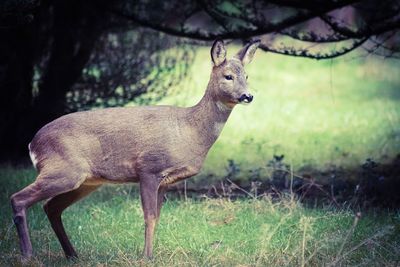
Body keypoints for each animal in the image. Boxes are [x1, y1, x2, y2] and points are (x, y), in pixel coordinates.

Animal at [10, 39, 260, 262]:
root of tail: (33, 143)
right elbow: (149, 216)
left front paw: (150, 254)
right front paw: (146, 257)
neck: (190, 131)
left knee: (51, 207)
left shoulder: (166, 181)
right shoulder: (148, 168)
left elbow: (158, 216)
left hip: (85, 181)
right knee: (18, 198)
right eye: (228, 76)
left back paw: (72, 255)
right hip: (64, 170)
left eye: (247, 76)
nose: (248, 96)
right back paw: (28, 255)